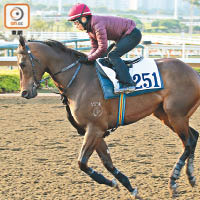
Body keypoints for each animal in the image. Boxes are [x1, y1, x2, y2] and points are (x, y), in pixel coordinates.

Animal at [16, 35, 200, 197]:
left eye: (22, 64)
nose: (24, 93)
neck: (78, 80)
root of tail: (193, 72)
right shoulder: (94, 131)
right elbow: (107, 162)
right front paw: (128, 187)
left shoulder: (95, 128)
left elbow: (82, 163)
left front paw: (111, 182)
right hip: (166, 115)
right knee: (193, 137)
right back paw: (190, 176)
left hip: (176, 115)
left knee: (187, 143)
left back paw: (173, 181)